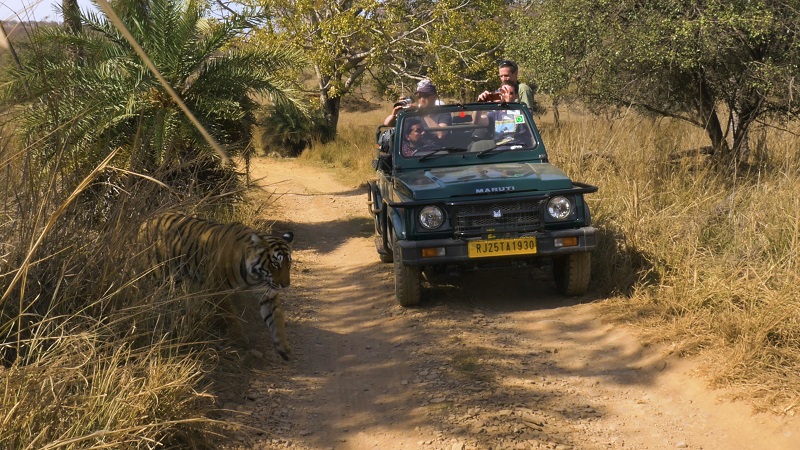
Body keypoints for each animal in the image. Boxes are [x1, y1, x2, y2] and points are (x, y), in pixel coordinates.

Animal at [139, 212, 296, 362]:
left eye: (288, 263)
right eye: (275, 264)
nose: (285, 285)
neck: (255, 275)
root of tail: (147, 220)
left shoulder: (266, 293)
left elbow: (277, 318)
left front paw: (284, 348)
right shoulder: (218, 288)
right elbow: (231, 315)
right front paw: (240, 339)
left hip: (176, 276)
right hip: (156, 273)